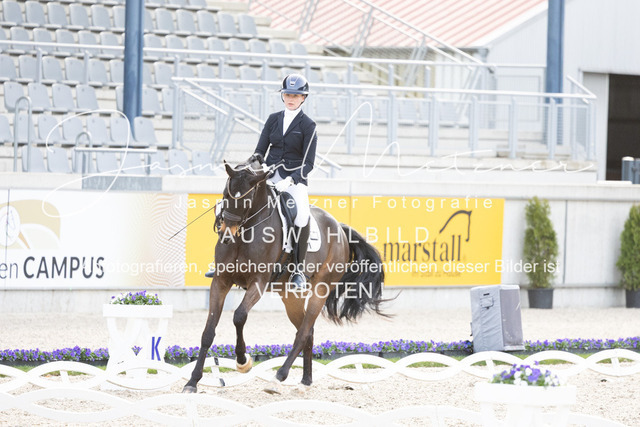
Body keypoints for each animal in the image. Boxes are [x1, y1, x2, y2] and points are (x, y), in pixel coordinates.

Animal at [182, 156, 388, 393]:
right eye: (225, 195)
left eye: (247, 199)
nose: (226, 235)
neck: (246, 232)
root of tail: (340, 228)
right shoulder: (220, 281)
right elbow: (208, 332)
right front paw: (192, 382)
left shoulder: (259, 282)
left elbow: (239, 316)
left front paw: (243, 361)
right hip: (291, 296)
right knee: (308, 331)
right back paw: (305, 380)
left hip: (321, 288)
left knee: (303, 332)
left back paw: (279, 376)